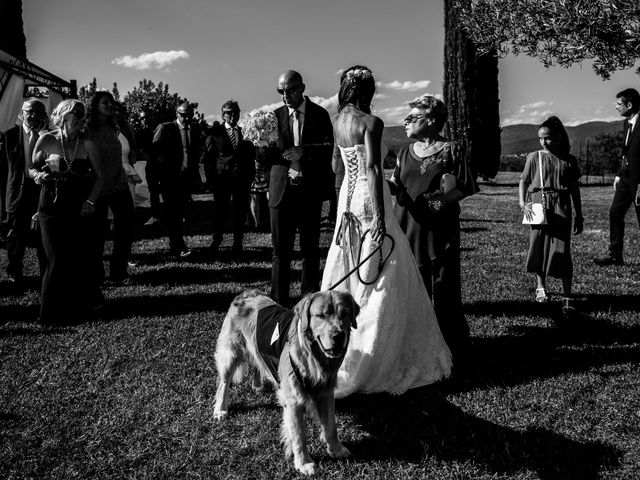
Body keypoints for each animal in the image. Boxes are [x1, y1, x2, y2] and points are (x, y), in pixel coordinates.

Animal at [212, 288, 358, 476]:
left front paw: (336, 449)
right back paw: (220, 409)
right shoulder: (294, 399)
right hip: (231, 351)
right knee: (223, 383)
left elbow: (331, 426)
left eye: (345, 314)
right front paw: (304, 462)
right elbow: (299, 434)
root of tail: (247, 293)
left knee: (257, 362)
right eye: (320, 315)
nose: (338, 336)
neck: (312, 353)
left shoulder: (326, 392)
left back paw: (257, 386)